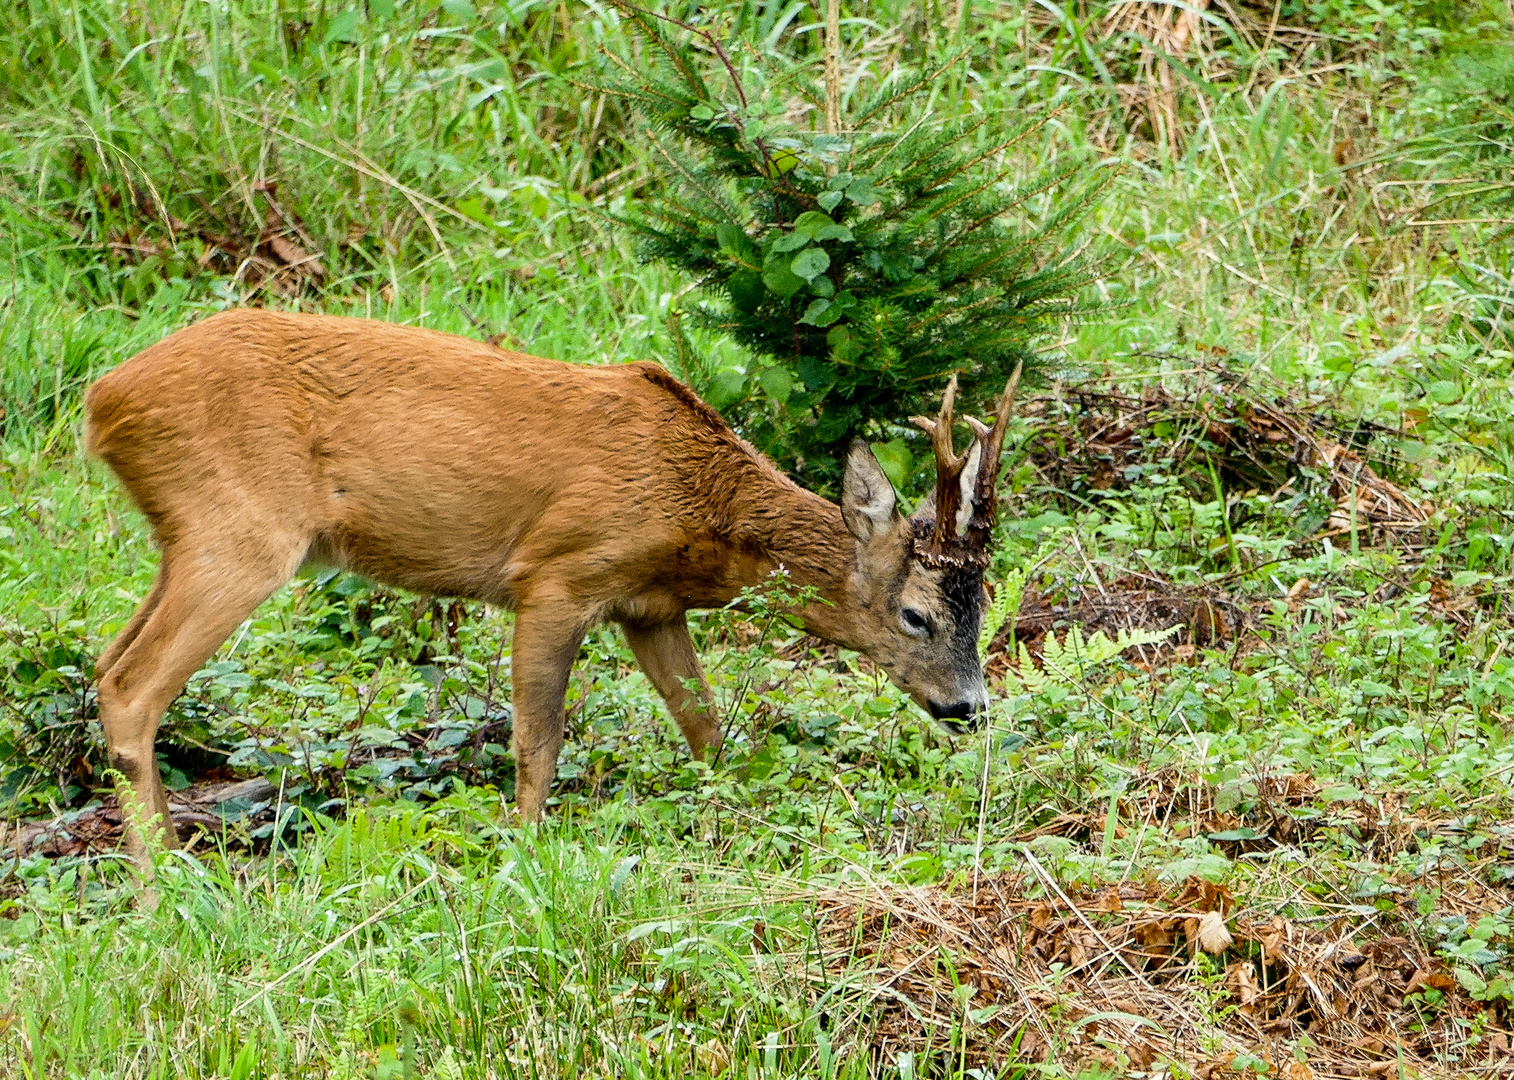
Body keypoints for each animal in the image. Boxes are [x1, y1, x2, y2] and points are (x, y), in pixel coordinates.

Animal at [88, 307, 1023, 866]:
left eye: (982, 603)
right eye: (916, 615)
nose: (969, 707)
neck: (700, 503)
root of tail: (105, 400)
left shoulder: (648, 608)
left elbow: (706, 728)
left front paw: (720, 821)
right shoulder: (557, 576)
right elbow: (540, 741)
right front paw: (524, 854)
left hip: (186, 536)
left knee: (106, 663)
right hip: (239, 531)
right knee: (134, 684)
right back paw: (160, 883)